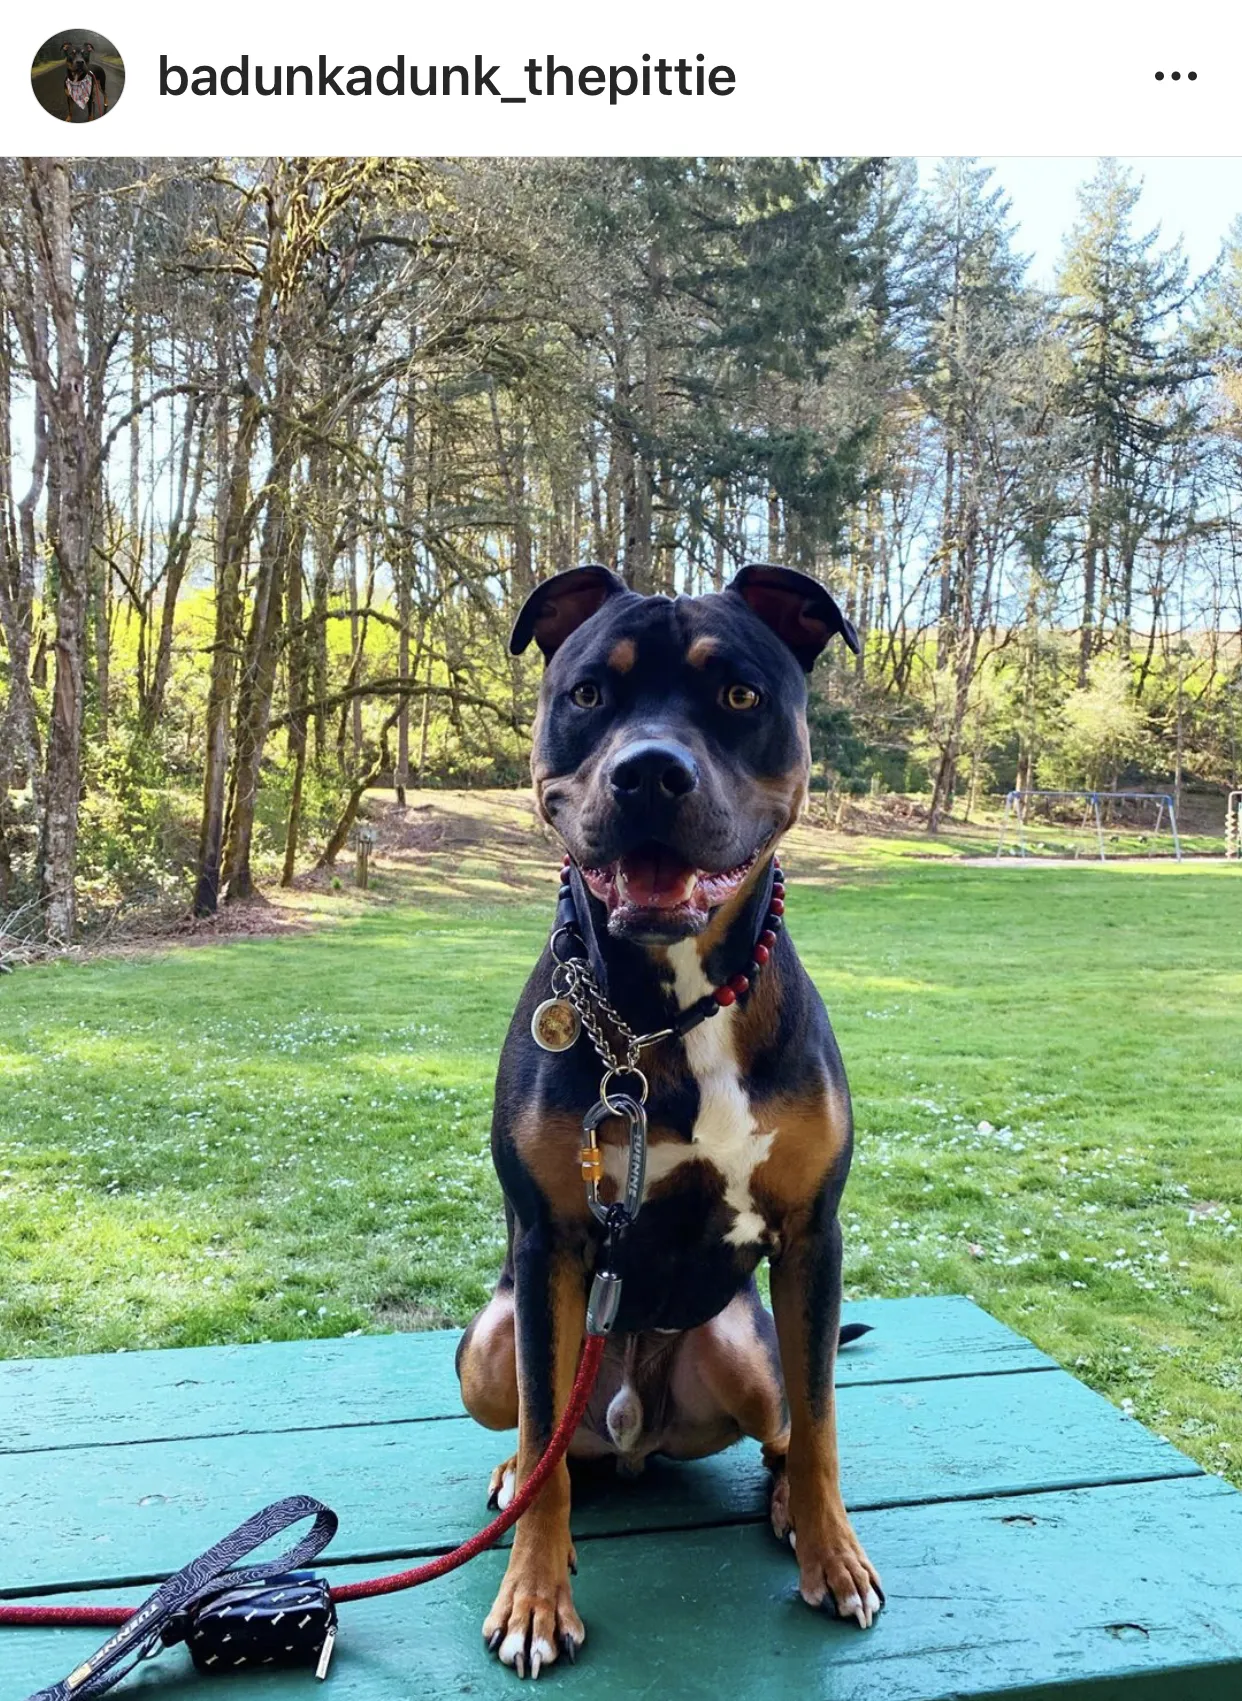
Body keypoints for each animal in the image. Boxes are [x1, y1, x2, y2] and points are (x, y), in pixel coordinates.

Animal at [455, 568, 877, 1673]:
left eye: (738, 696)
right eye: (589, 694)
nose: (649, 772)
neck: (668, 1014)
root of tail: (635, 1429)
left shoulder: (814, 1235)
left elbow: (825, 1420)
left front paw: (833, 1555)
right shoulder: (549, 1245)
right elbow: (540, 1434)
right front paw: (534, 1595)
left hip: (744, 1349)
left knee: (785, 1422)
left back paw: (788, 1508)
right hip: (487, 1343)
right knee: (542, 1437)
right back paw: (514, 1483)